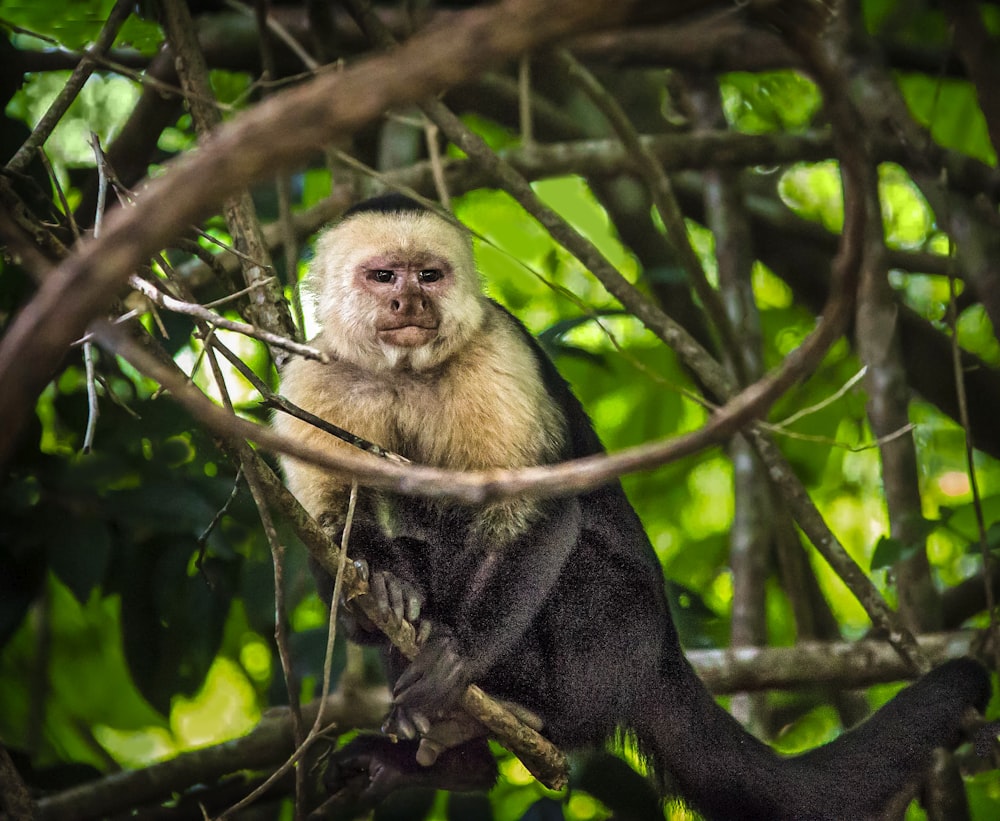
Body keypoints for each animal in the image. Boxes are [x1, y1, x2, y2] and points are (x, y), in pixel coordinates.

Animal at [276, 194, 992, 820]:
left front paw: (462, 653)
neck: (405, 371)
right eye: (383, 276)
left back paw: (528, 710)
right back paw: (454, 753)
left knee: (586, 580)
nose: (410, 300)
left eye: (429, 274)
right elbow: (331, 517)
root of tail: (665, 656)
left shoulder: (496, 356)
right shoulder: (313, 377)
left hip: (623, 644)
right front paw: (383, 583)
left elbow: (544, 511)